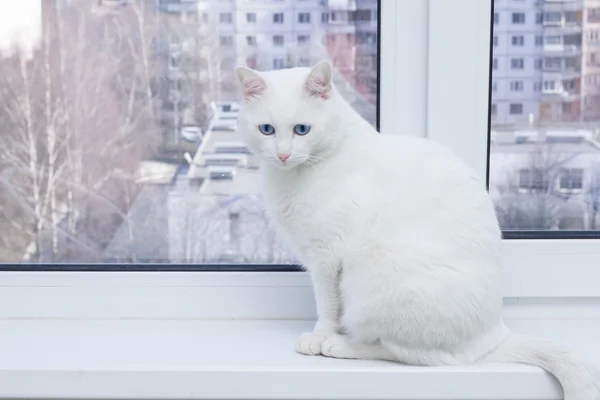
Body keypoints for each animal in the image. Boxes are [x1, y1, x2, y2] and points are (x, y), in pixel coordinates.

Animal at [236, 60, 600, 400]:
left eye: (302, 129)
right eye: (267, 129)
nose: (283, 154)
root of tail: (495, 336)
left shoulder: (327, 258)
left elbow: (327, 305)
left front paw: (321, 335)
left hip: (375, 287)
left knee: (409, 354)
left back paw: (342, 345)